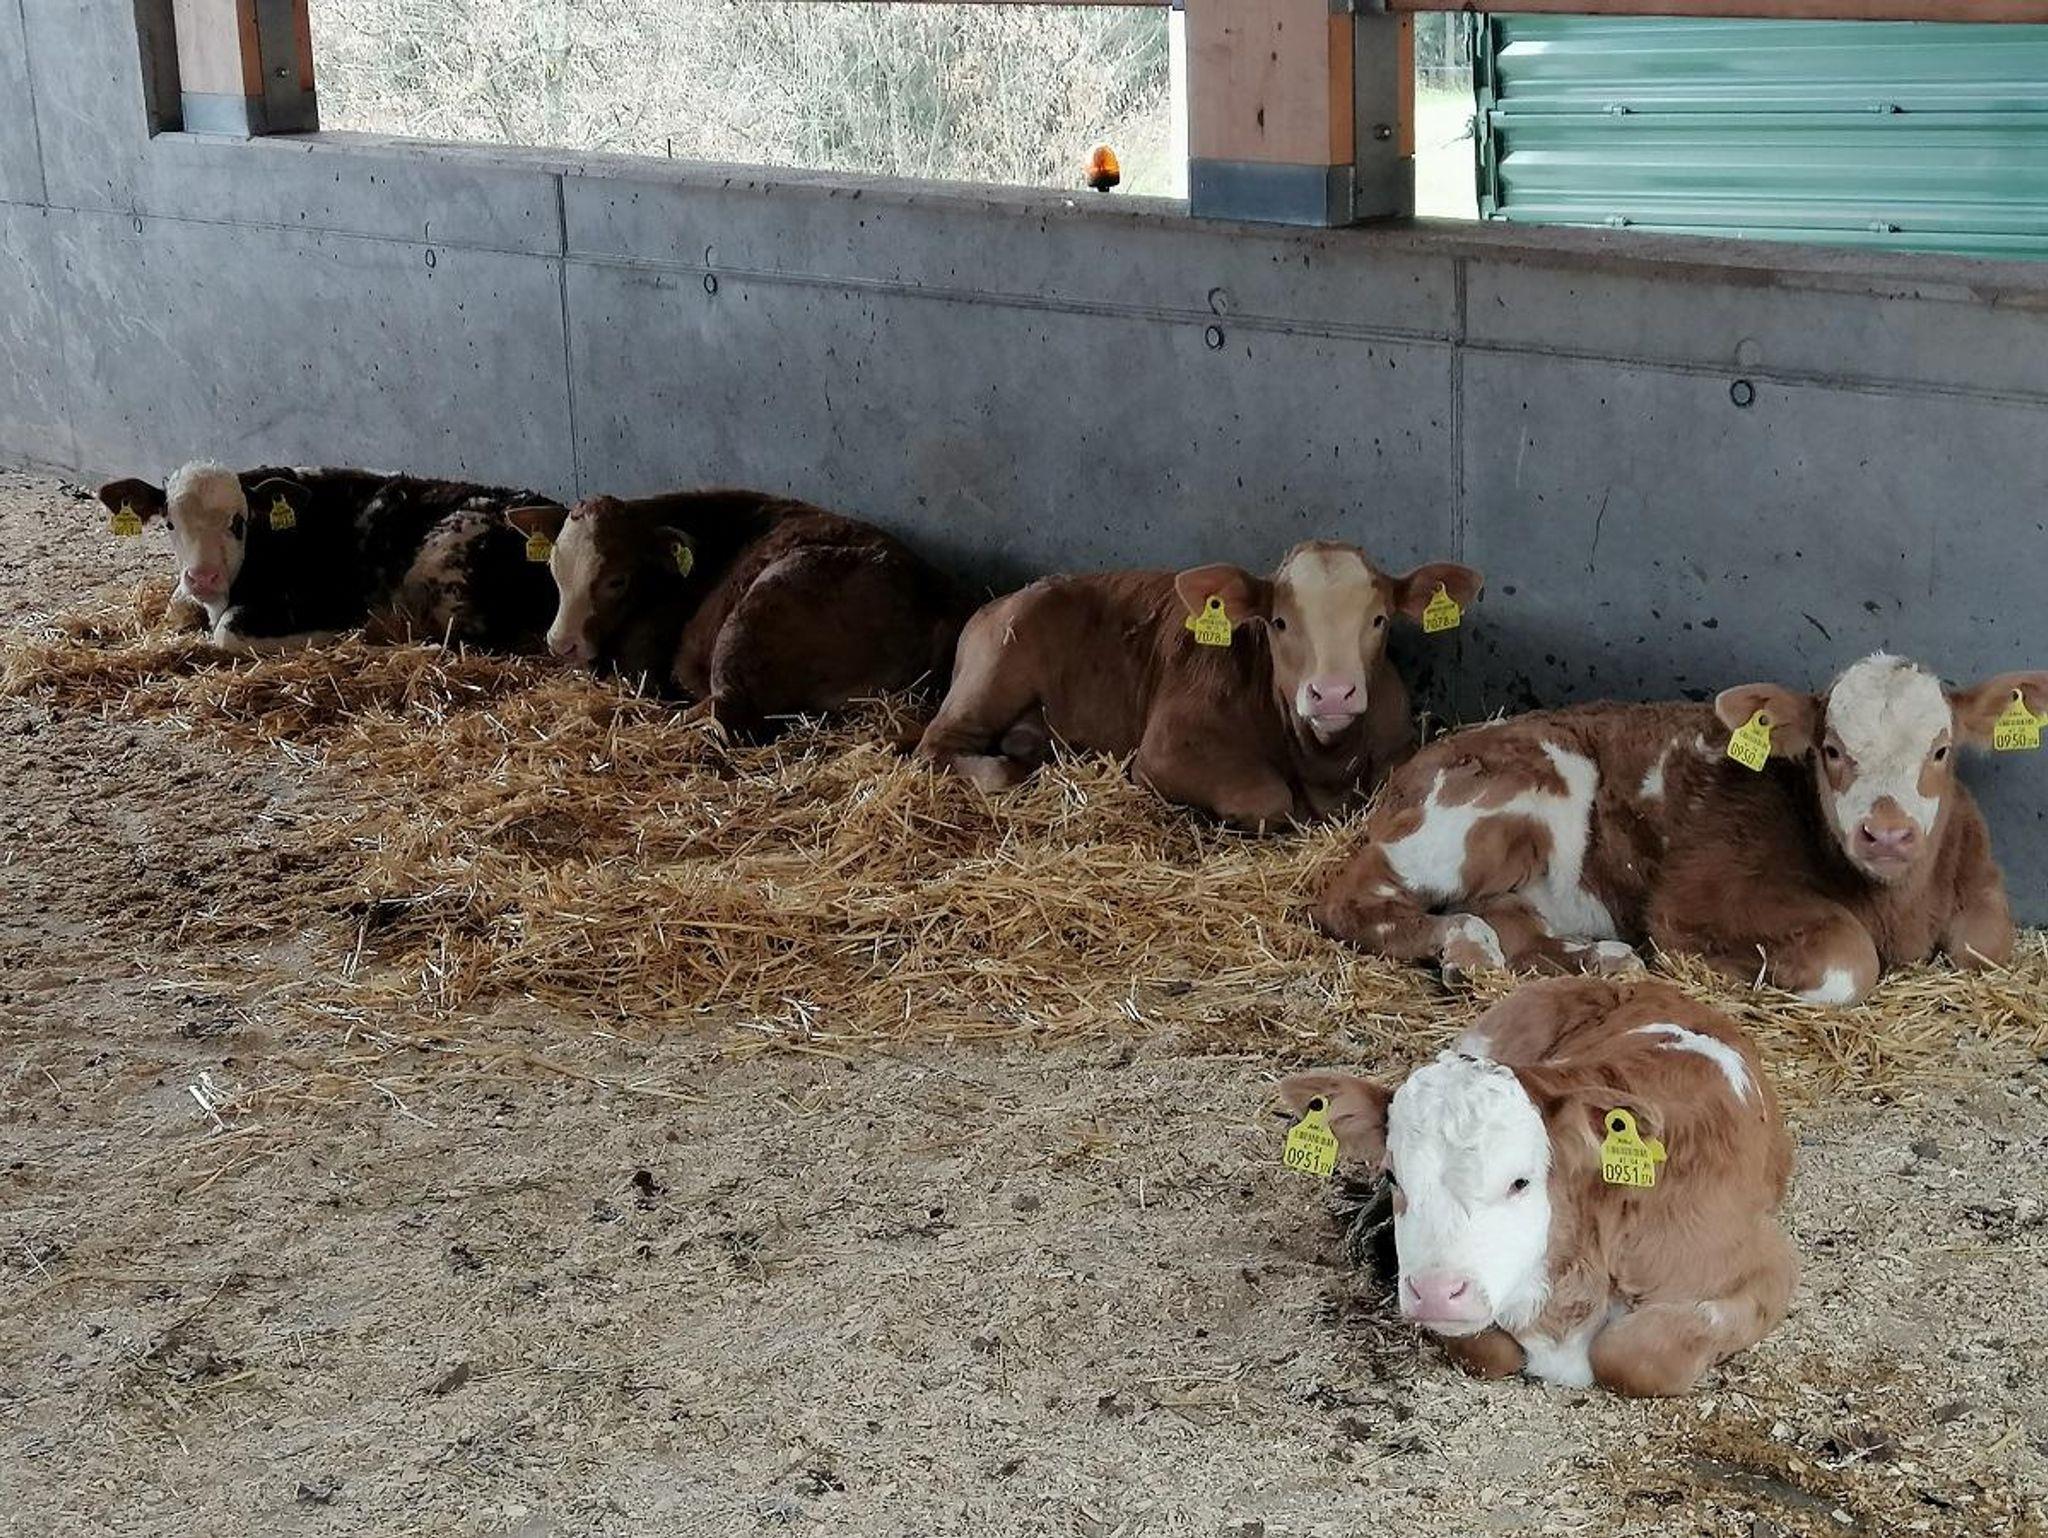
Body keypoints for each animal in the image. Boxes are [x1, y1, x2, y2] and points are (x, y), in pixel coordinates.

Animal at [96, 462, 562, 654]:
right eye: (170, 524)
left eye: (238, 522)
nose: (203, 577)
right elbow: (177, 606)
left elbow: (226, 632)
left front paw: (331, 635)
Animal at [915, 542, 1484, 828]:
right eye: (1279, 622)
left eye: (1379, 619)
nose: (1332, 693)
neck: (1321, 761)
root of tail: (998, 602)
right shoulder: (1168, 748)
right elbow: (1267, 797)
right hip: (994, 672)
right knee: (936, 747)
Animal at [1279, 975, 1796, 1397]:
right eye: (1393, 1174)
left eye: (1520, 1182)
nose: (1435, 1291)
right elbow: (1487, 1350)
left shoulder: (1767, 1265)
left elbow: (1635, 1356)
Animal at [1312, 652, 2047, 1006]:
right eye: (1832, 751)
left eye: (1941, 750)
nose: (1887, 835)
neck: (1894, 908)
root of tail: (1415, 762)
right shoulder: (1695, 899)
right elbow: (1848, 958)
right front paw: (1726, 972)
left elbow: (1985, 945)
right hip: (1492, 804)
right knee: (1354, 898)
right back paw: (1464, 947)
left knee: (1514, 922)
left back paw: (1599, 959)